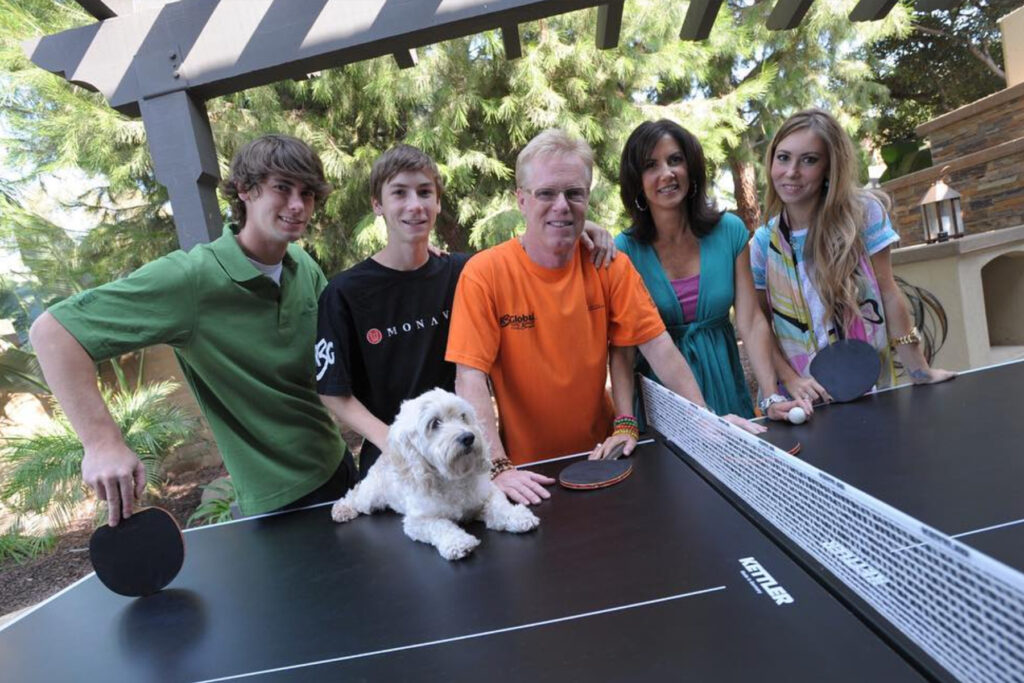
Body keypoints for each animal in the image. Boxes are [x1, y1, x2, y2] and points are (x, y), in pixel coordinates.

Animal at [331, 389, 540, 561]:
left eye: (463, 416)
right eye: (435, 423)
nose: (468, 437)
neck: (452, 479)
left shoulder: (488, 493)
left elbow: (500, 505)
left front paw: (517, 516)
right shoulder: (418, 522)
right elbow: (440, 526)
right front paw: (457, 542)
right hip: (369, 497)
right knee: (354, 494)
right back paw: (342, 509)